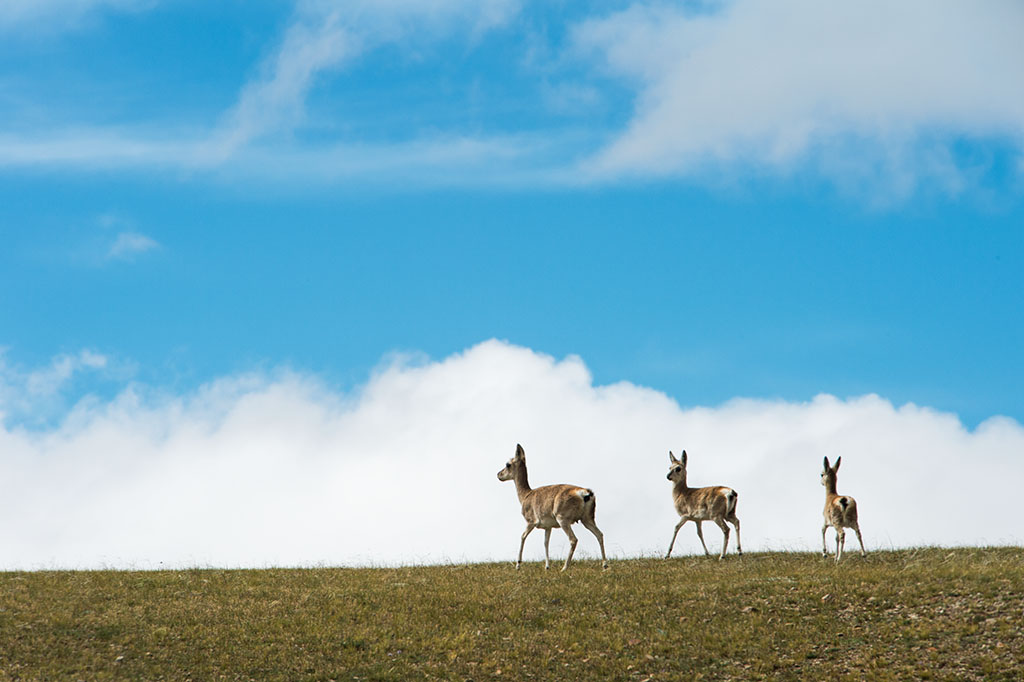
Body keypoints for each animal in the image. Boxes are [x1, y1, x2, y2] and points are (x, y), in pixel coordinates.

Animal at [495, 440, 606, 569]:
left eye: (508, 464)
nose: (498, 474)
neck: (526, 495)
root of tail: (585, 493)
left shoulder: (531, 522)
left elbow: (522, 536)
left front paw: (518, 565)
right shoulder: (548, 527)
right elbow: (546, 542)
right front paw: (547, 567)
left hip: (563, 520)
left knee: (573, 539)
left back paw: (564, 568)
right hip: (587, 519)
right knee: (599, 534)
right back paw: (605, 565)